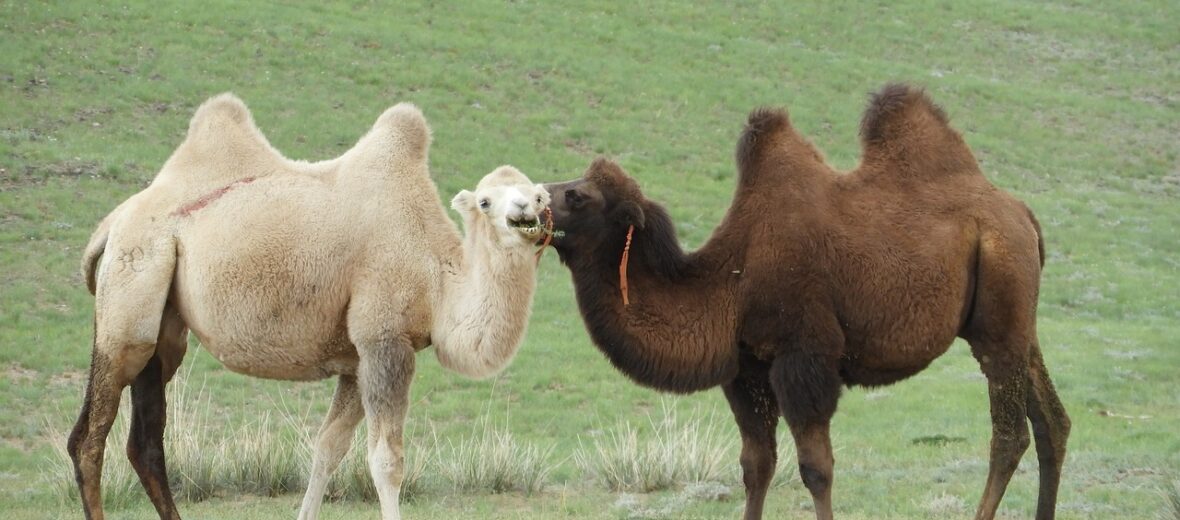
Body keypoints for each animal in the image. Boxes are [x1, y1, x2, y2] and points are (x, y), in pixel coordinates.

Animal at [69, 94, 552, 518]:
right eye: (486, 200)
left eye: (538, 196)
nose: (523, 213)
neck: (435, 276)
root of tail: (113, 223)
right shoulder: (384, 340)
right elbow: (386, 462)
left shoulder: (357, 360)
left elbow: (328, 448)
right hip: (132, 287)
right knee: (90, 438)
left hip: (165, 324)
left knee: (146, 439)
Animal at [542, 83, 1071, 516]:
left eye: (577, 197)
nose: (529, 200)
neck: (733, 277)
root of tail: (1023, 214)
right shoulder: (747, 368)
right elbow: (756, 465)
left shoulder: (804, 356)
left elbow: (816, 468)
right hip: (1019, 321)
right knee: (1052, 422)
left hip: (999, 310)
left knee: (1010, 434)